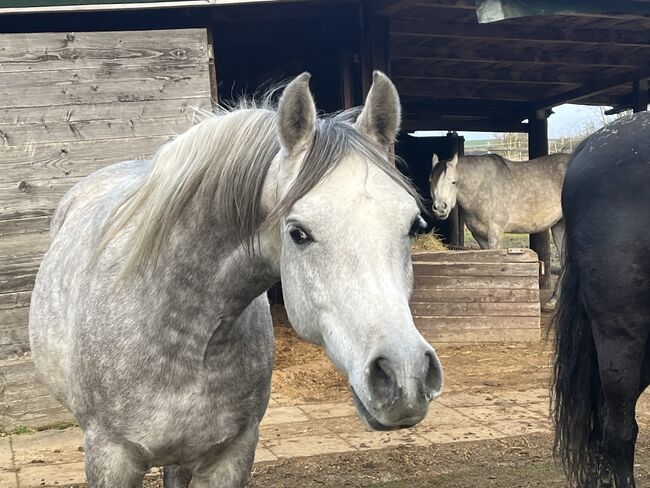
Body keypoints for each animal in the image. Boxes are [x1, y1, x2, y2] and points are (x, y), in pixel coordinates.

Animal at [430, 152, 568, 308]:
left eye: (453, 182)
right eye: (431, 181)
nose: (440, 208)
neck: (480, 186)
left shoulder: (495, 233)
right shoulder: (479, 236)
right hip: (559, 225)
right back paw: (553, 301)